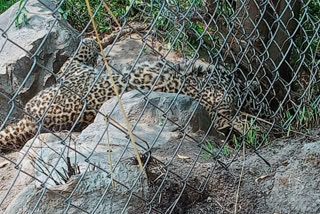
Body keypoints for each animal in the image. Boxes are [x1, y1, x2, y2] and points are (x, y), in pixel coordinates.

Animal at [0, 37, 272, 153]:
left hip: (76, 76)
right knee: (72, 58)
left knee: (71, 61)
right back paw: (92, 40)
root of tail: (31, 120)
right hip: (78, 74)